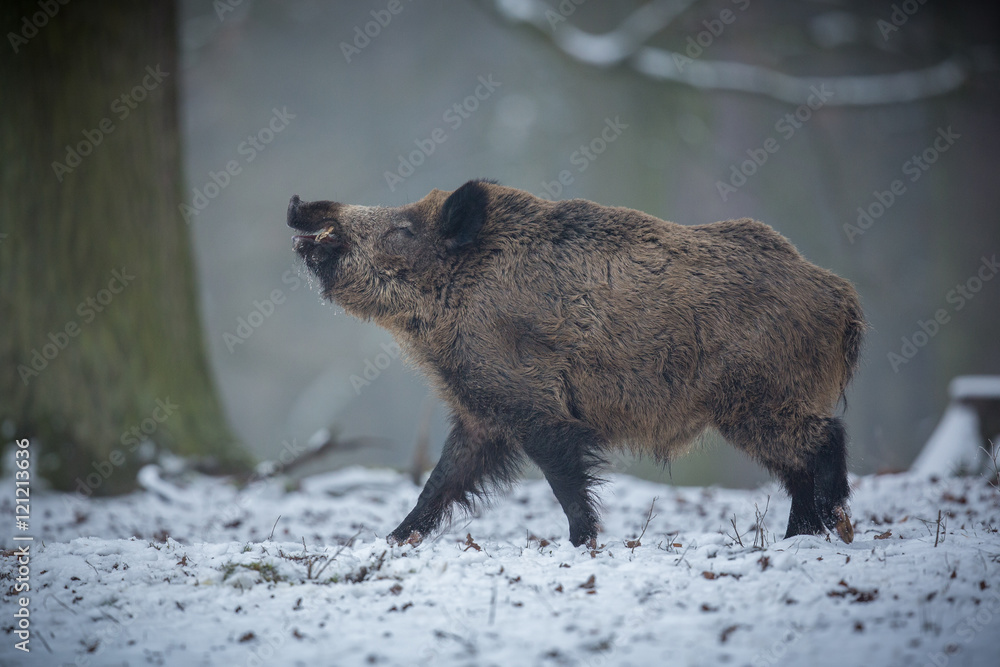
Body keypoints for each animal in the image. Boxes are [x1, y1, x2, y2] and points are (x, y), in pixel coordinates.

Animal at [287, 179, 865, 547]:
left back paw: (835, 524)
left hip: (760, 401)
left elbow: (564, 483)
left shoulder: (538, 409)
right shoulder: (482, 416)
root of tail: (843, 298)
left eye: (405, 229)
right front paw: (390, 542)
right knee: (797, 470)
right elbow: (441, 482)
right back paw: (799, 538)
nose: (298, 202)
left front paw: (583, 545)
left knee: (825, 439)